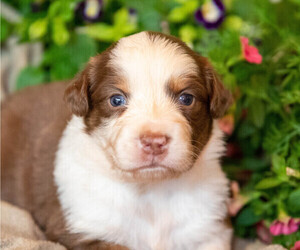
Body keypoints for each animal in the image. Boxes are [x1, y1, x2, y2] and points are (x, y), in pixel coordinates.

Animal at [0, 31, 232, 250]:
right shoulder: (82, 228)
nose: (154, 141)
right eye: (116, 100)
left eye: (186, 98)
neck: (150, 190)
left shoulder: (210, 227)